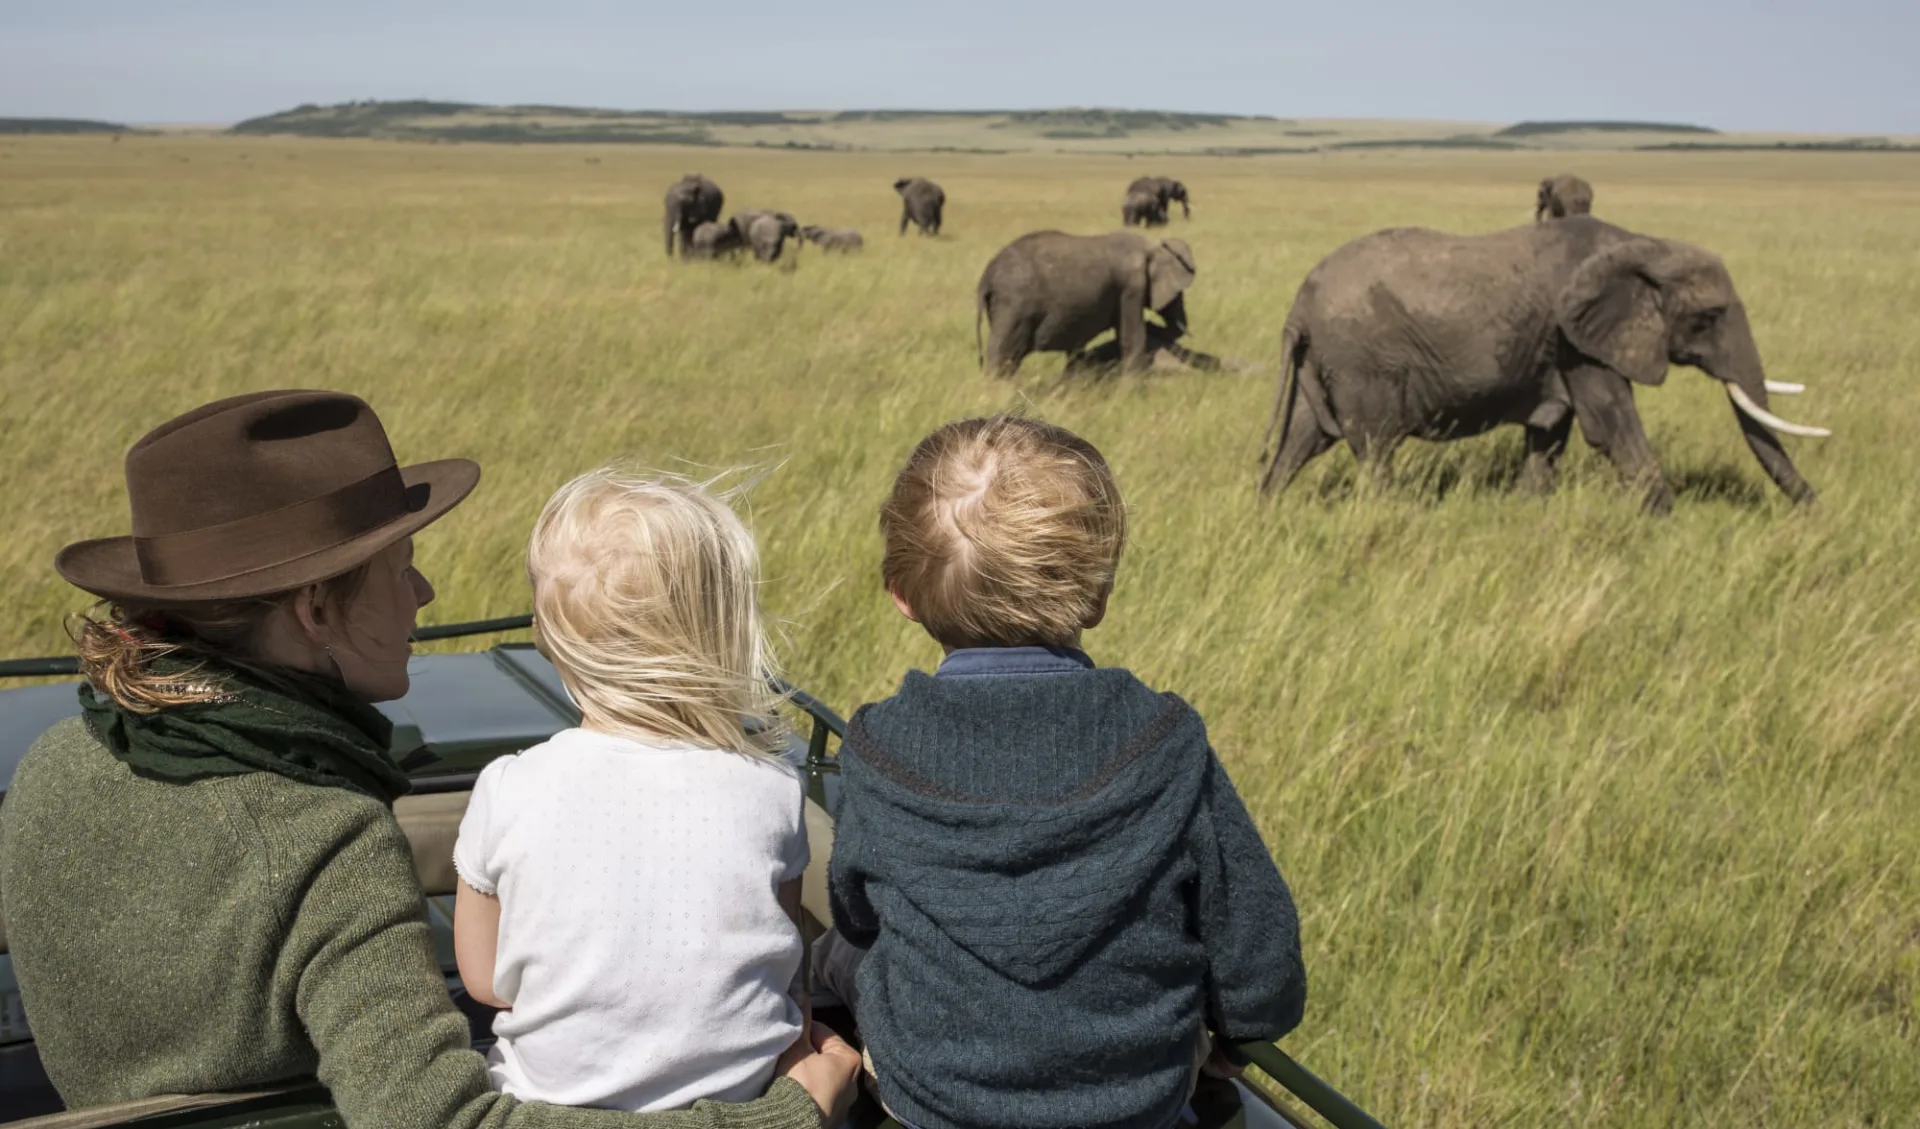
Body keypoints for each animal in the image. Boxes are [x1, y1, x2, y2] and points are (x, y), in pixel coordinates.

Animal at [983, 230, 1190, 380]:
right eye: (1177, 293)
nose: (1151, 324)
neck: (1149, 246)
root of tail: (987, 276)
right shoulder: (1131, 288)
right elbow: (1132, 337)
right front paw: (1131, 390)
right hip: (1013, 307)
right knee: (1004, 353)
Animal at [1259, 213, 1827, 510]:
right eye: (1708, 318)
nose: (1815, 508)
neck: (1642, 245)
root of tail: (1297, 307)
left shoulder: (1561, 347)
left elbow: (1550, 432)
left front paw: (1525, 509)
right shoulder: (1577, 339)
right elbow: (1612, 425)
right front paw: (1664, 521)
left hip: (1327, 361)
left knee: (1303, 438)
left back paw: (1268, 509)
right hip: (1363, 361)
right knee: (1375, 446)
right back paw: (1389, 514)